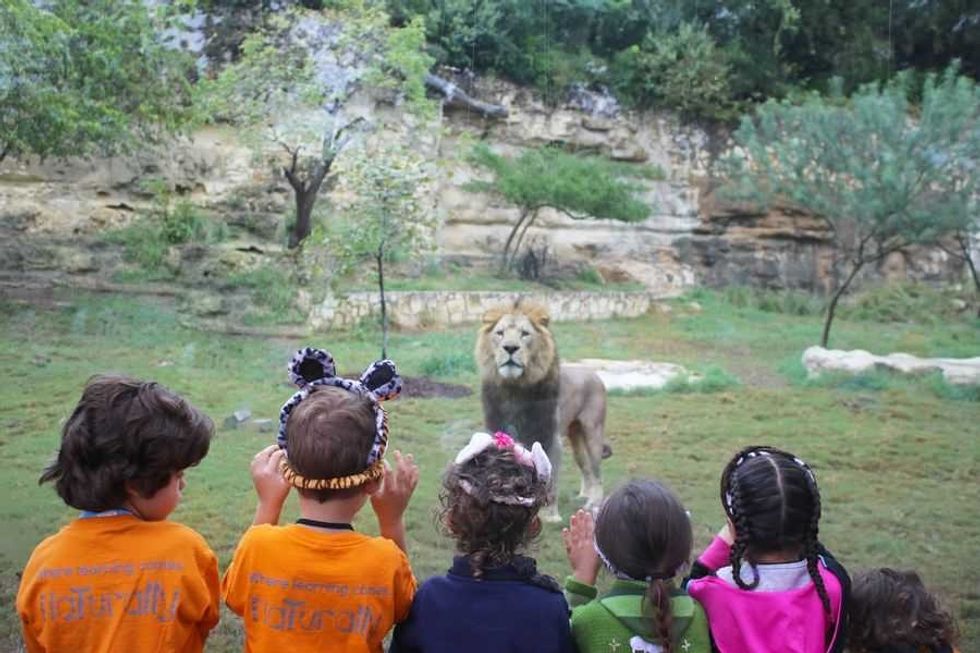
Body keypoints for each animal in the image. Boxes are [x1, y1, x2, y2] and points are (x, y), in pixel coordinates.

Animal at [476, 299, 608, 521]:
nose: (510, 348)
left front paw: (550, 515)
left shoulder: (549, 438)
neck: (514, 389)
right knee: (586, 468)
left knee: (597, 472)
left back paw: (593, 503)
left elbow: (549, 479)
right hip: (575, 435)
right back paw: (584, 495)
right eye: (500, 333)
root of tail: (594, 373)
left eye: (525, 333)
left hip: (593, 431)